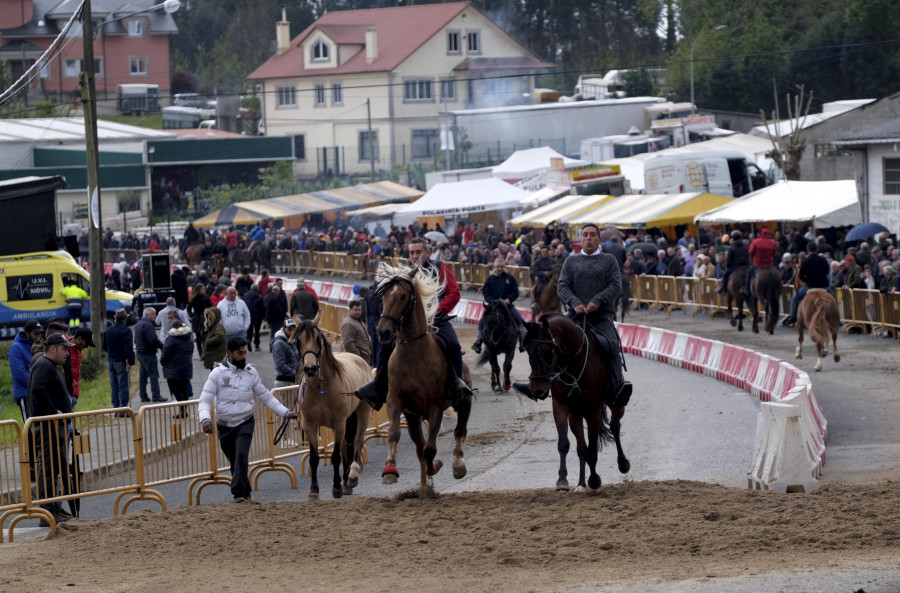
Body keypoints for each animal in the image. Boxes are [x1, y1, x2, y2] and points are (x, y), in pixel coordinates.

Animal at [292, 320, 370, 500]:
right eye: (298, 340)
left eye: (318, 339)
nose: (310, 368)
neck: (321, 390)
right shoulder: (309, 426)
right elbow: (314, 458)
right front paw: (314, 490)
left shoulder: (339, 424)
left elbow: (335, 456)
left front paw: (336, 488)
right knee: (346, 446)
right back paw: (346, 481)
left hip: (362, 412)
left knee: (357, 440)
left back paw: (352, 475)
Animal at [374, 262, 474, 498]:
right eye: (384, 296)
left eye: (402, 296)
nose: (383, 332)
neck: (413, 354)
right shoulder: (396, 402)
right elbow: (394, 434)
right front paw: (390, 470)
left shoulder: (435, 407)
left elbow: (431, 449)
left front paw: (436, 467)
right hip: (412, 417)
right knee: (420, 448)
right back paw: (423, 488)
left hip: (464, 402)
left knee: (459, 432)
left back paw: (457, 466)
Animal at [520, 312, 632, 492]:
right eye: (528, 349)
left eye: (547, 351)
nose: (537, 389)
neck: (574, 363)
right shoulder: (560, 406)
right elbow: (565, 444)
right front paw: (562, 481)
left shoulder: (594, 408)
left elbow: (593, 449)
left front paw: (594, 480)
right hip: (576, 413)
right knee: (582, 447)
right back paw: (581, 483)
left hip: (615, 403)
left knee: (615, 426)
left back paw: (622, 463)